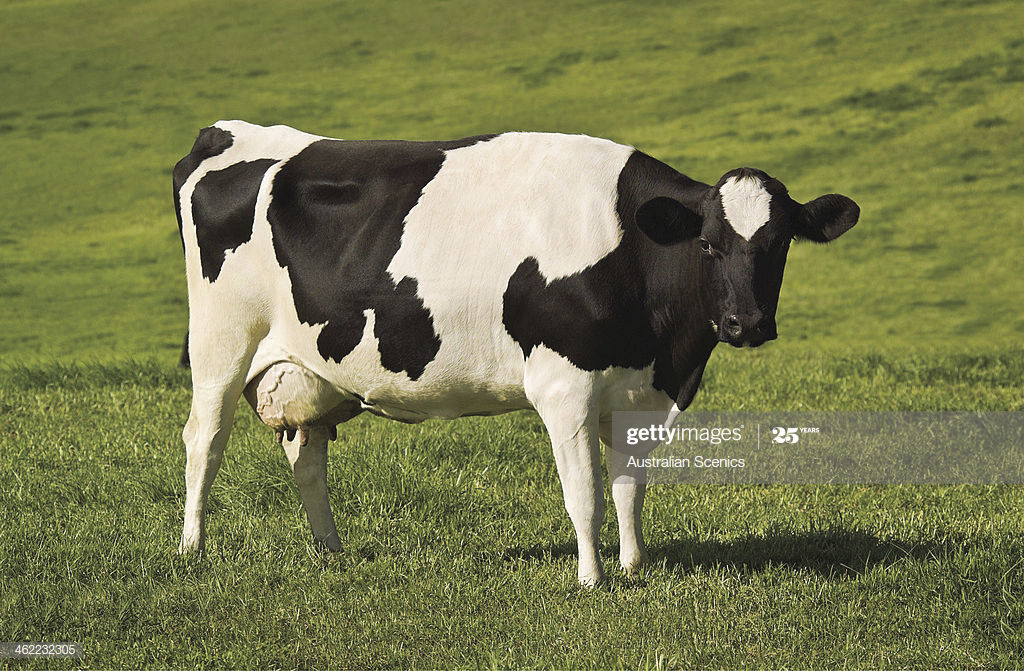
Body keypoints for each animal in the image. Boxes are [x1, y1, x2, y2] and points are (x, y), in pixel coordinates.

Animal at [173, 120, 859, 586]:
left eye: (780, 243)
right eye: (710, 244)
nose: (748, 323)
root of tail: (229, 132)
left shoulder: (641, 394)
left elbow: (629, 488)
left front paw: (634, 568)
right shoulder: (565, 387)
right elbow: (584, 492)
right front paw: (592, 580)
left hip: (308, 368)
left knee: (305, 455)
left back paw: (331, 551)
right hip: (221, 343)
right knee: (205, 437)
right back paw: (192, 549)